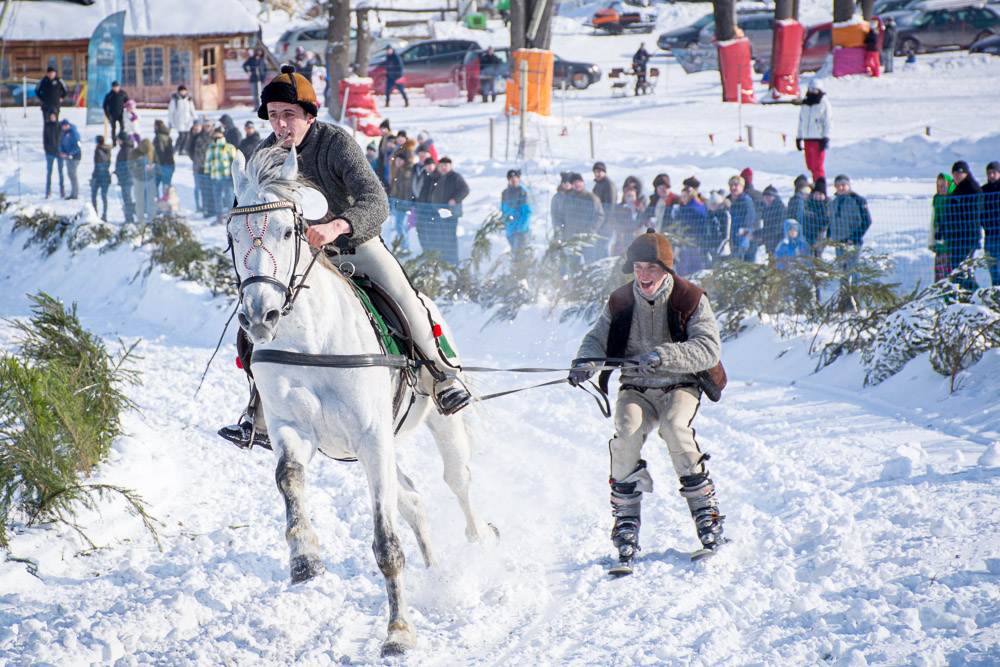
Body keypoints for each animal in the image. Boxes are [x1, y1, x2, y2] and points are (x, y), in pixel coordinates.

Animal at [227, 145, 496, 655]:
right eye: (232, 236)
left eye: (288, 230)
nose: (260, 315)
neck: (313, 341)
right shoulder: (295, 430)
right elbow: (289, 478)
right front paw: (305, 560)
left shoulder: (371, 436)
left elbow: (387, 545)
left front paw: (398, 632)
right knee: (413, 500)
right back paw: (437, 574)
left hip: (437, 424)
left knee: (459, 481)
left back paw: (481, 548)